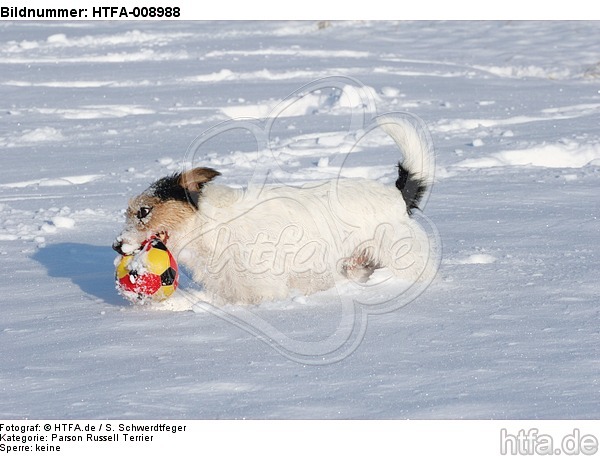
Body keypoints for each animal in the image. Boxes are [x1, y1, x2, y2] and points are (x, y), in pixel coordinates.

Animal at [112, 116, 436, 302]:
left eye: (144, 211)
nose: (116, 245)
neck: (211, 225)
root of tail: (397, 196)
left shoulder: (263, 288)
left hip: (404, 261)